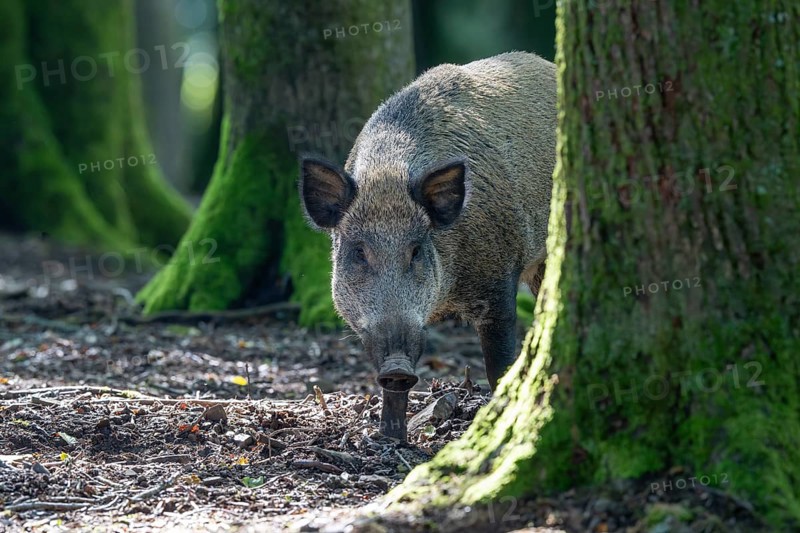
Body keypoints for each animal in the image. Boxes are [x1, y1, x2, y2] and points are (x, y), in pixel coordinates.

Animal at [299, 52, 557, 440]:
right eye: (359, 252)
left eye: (416, 250)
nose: (397, 366)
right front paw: (391, 438)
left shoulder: (499, 275)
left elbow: (498, 365)